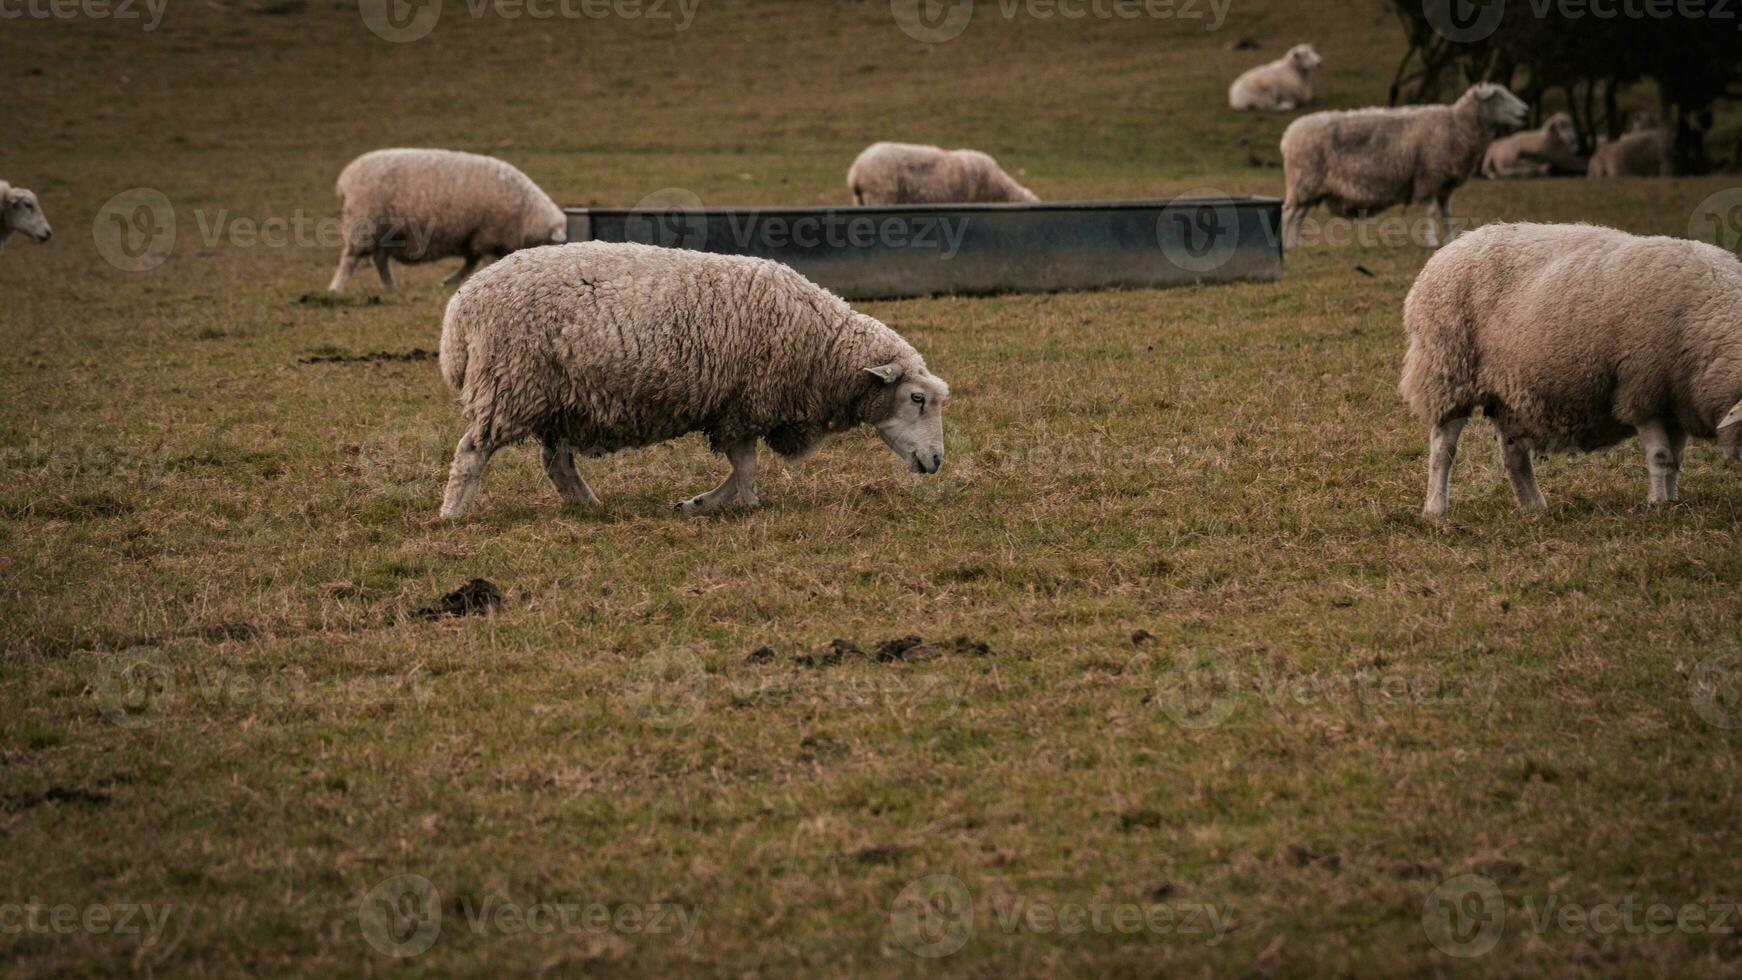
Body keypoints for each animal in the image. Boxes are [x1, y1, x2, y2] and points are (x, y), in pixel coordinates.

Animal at [327, 145, 564, 290]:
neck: (527, 213)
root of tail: (346, 177)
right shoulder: (487, 235)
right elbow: (484, 260)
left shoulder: (473, 235)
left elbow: (470, 262)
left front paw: (449, 281)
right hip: (363, 223)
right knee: (350, 259)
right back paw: (337, 288)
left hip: (385, 232)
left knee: (380, 260)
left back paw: (389, 287)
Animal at [435, 241, 954, 518]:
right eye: (917, 398)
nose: (936, 461)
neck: (822, 346)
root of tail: (460, 311)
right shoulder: (746, 404)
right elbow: (746, 468)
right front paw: (746, 506)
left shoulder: (734, 409)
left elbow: (740, 467)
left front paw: (699, 503)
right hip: (511, 385)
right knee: (472, 452)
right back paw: (454, 513)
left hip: (561, 400)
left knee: (557, 464)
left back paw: (591, 507)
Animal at [1282, 83, 1525, 248]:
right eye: (1499, 97)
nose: (1525, 111)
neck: (1457, 125)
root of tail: (1288, 135)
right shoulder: (1429, 176)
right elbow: (1430, 210)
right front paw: (1430, 240)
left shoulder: (1445, 184)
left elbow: (1446, 213)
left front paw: (1450, 239)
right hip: (1303, 180)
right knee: (1288, 213)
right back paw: (1286, 245)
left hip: (1308, 185)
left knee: (1299, 215)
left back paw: (1295, 243)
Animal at [1400, 219, 1742, 518]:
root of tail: (1456, 243)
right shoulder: (1642, 393)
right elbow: (1660, 456)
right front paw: (1658, 505)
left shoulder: (1674, 401)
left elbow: (1675, 459)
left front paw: (1671, 501)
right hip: (1449, 372)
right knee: (1443, 448)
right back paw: (1435, 510)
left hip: (1508, 391)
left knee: (1513, 453)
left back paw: (1534, 508)